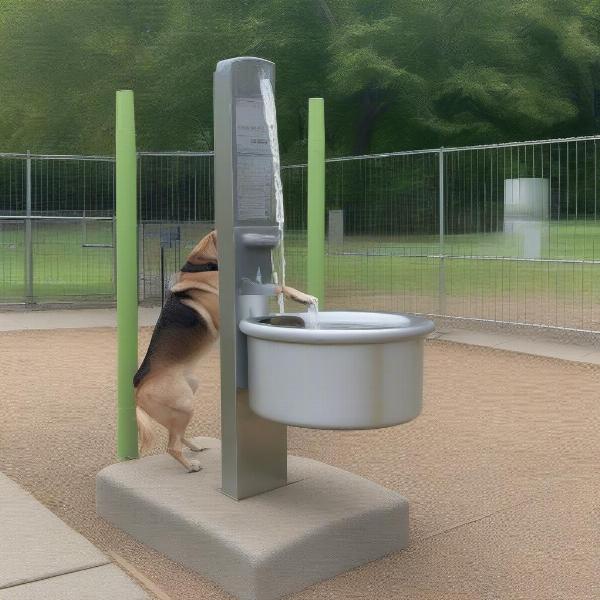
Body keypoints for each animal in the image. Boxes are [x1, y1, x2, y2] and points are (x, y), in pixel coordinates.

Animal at [134, 232, 316, 472]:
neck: (203, 265)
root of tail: (137, 392)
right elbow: (278, 286)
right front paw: (304, 297)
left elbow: (275, 285)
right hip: (184, 403)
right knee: (171, 446)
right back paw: (190, 465)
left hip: (187, 394)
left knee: (177, 436)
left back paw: (194, 447)